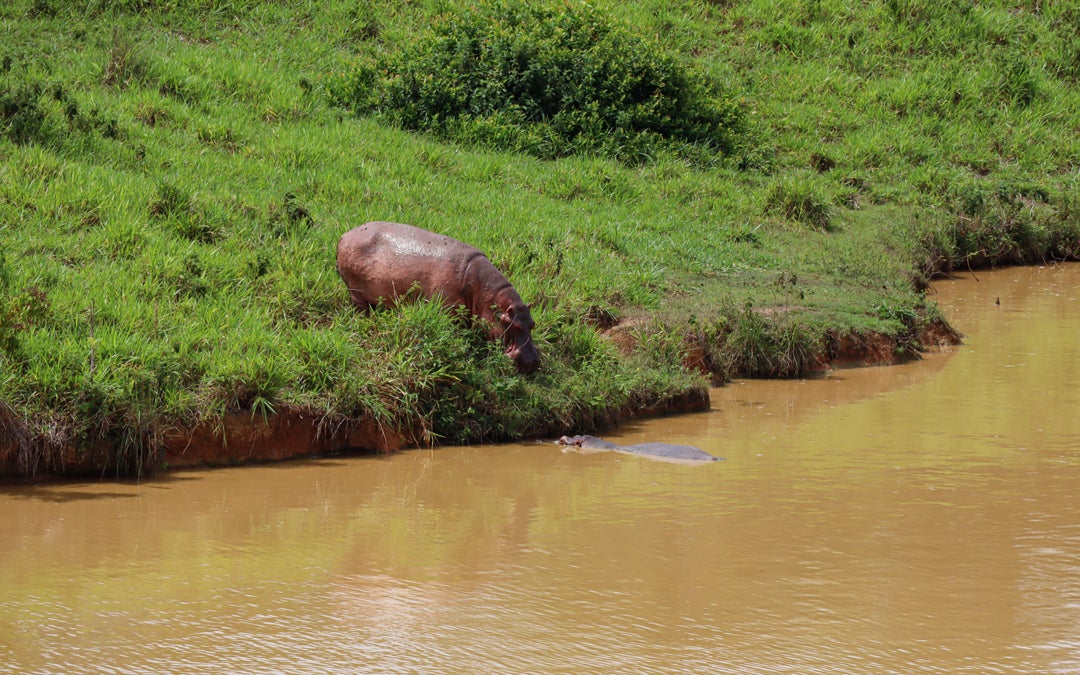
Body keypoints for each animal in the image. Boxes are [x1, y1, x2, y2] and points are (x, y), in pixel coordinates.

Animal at [336, 221, 540, 374]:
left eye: (532, 324)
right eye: (509, 323)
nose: (532, 362)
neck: (487, 296)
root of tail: (345, 235)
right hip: (355, 290)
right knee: (360, 307)